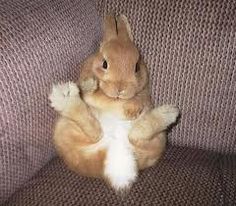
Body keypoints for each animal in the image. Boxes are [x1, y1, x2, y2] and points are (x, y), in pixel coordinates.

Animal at [49, 14, 179, 192]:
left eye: (136, 67)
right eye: (104, 64)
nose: (120, 89)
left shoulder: (143, 94)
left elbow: (136, 100)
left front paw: (132, 109)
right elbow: (95, 93)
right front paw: (90, 84)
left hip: (157, 141)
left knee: (133, 134)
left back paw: (169, 112)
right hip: (68, 131)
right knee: (95, 130)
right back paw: (66, 95)